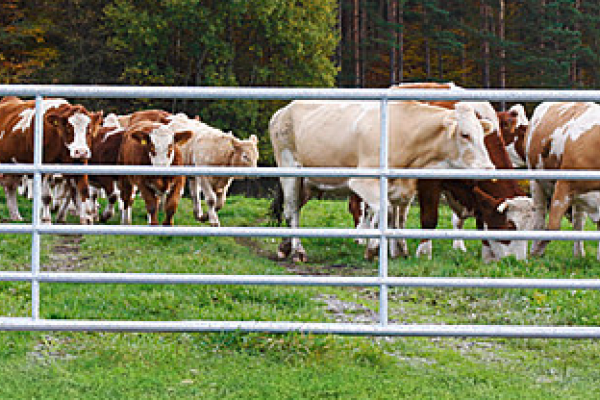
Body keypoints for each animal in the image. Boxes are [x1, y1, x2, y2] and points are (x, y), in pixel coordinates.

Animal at [0, 95, 102, 223]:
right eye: (68, 127)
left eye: (89, 128)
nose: (81, 151)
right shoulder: (42, 169)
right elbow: (46, 197)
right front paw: (45, 220)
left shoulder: (80, 164)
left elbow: (83, 191)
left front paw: (87, 220)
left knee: (10, 187)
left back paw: (16, 217)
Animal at [270, 99, 494, 262]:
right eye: (465, 134)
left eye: (482, 134)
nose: (488, 168)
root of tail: (283, 111)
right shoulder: (363, 181)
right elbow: (383, 211)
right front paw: (373, 248)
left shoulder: (400, 187)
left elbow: (393, 217)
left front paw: (395, 249)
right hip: (290, 172)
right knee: (291, 211)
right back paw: (298, 252)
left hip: (306, 183)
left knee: (293, 209)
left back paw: (285, 247)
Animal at [528, 103, 600, 258]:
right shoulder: (563, 186)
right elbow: (553, 227)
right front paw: (538, 251)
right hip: (536, 182)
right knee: (539, 218)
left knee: (578, 222)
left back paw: (579, 253)